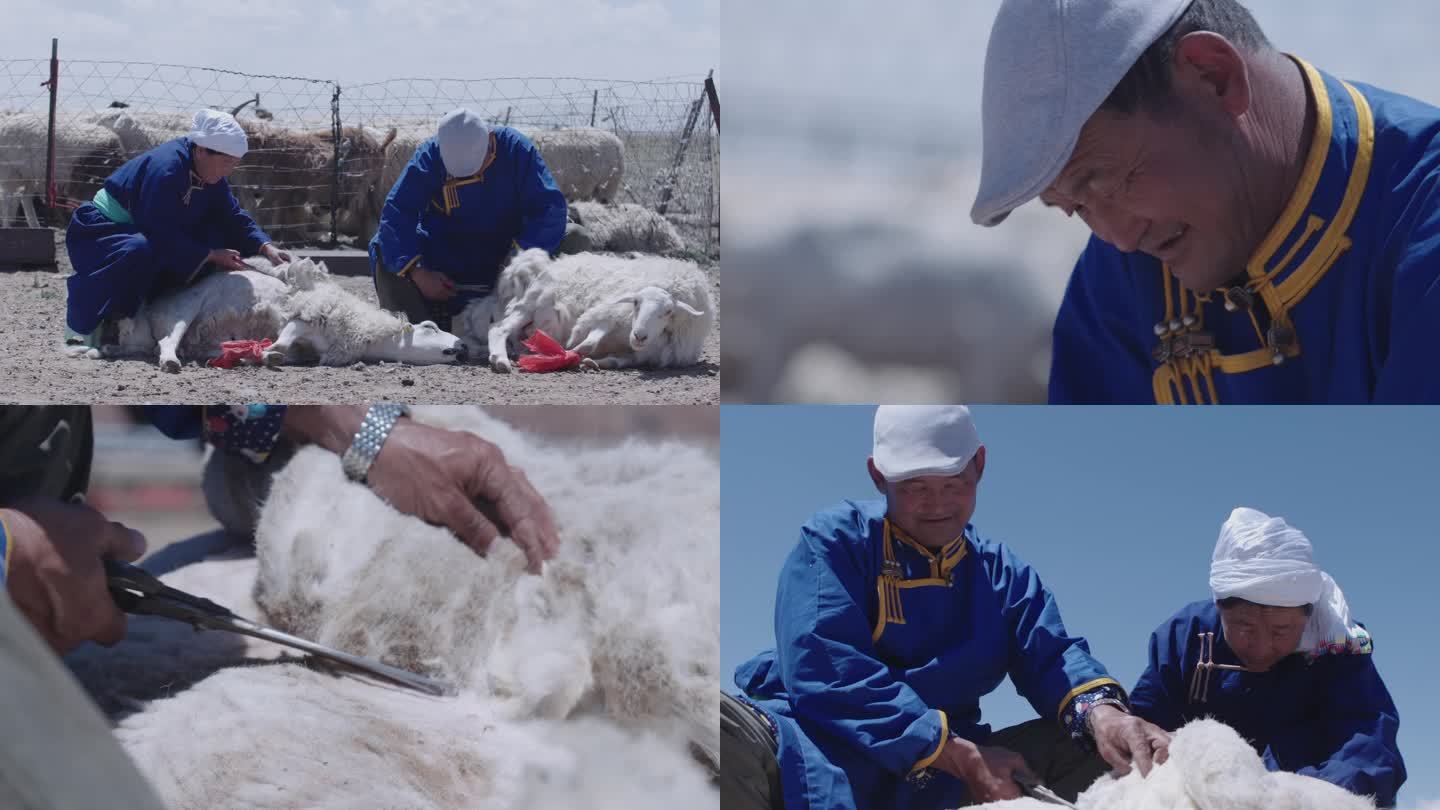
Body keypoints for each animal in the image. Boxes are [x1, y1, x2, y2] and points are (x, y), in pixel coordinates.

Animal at [63, 256, 466, 371]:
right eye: (431, 327)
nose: (462, 347)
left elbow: (287, 349)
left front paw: (260, 353)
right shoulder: (303, 318)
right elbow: (284, 339)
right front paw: (268, 353)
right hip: (185, 309)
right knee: (167, 341)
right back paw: (171, 361)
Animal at [466, 247, 714, 371]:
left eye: (668, 312)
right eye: (636, 302)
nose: (640, 335)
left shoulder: (646, 354)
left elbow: (619, 360)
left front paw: (595, 362)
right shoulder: (605, 315)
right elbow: (588, 342)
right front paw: (572, 352)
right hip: (531, 305)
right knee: (498, 328)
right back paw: (500, 359)